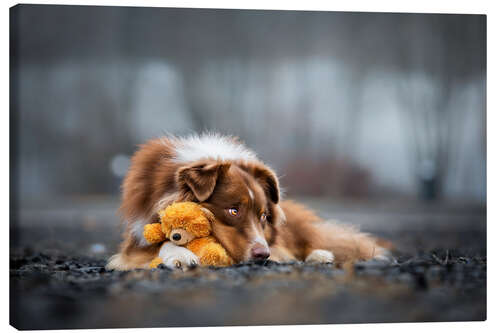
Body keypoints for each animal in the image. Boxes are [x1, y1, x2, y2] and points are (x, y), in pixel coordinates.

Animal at [106, 132, 390, 270]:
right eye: (233, 210)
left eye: (263, 216)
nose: (263, 255)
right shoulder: (135, 239)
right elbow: (159, 245)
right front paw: (180, 255)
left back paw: (320, 255)